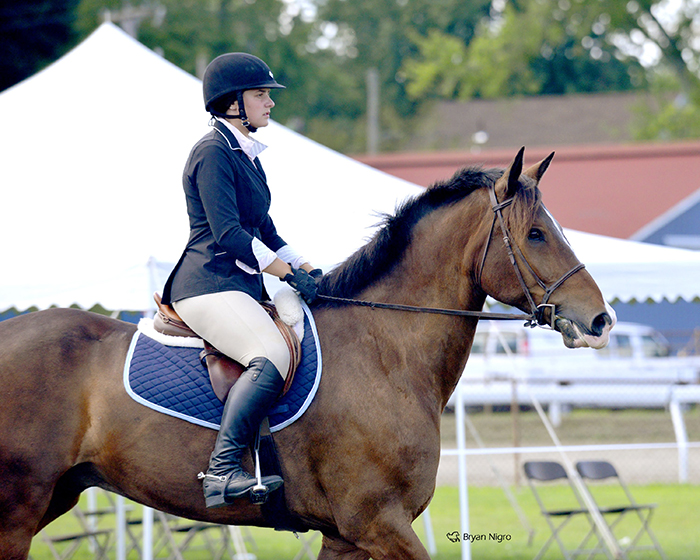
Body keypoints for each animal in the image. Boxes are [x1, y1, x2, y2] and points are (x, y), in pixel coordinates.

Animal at [0, 147, 612, 556]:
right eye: (535, 234)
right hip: (17, 509)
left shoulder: (346, 536)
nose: (600, 320)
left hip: (53, 495)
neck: (385, 351)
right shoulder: (377, 522)